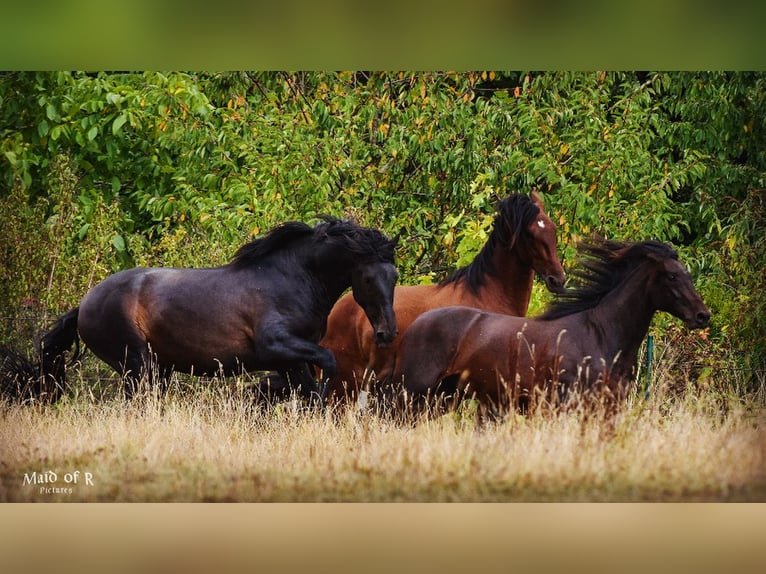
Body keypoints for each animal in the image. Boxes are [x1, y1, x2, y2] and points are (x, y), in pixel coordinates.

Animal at [6, 218, 400, 402]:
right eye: (367, 278)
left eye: (395, 276)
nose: (387, 333)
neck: (292, 279)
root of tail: (86, 303)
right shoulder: (277, 346)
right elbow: (325, 370)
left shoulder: (290, 359)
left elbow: (300, 389)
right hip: (137, 363)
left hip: (156, 368)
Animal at [320, 191, 568, 402]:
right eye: (530, 233)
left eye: (553, 229)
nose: (558, 280)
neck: (487, 294)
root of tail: (334, 311)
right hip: (345, 384)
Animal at [390, 238, 712, 424]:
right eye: (672, 276)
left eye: (686, 274)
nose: (702, 315)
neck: (600, 336)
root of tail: (415, 325)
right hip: (413, 394)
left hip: (440, 398)